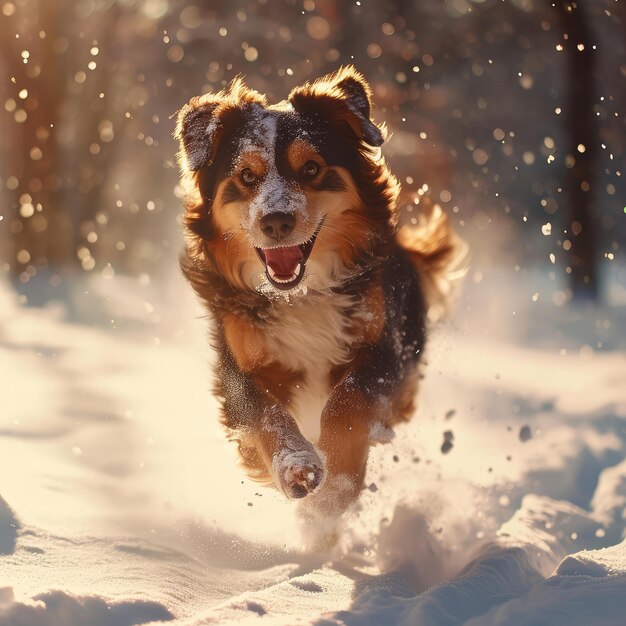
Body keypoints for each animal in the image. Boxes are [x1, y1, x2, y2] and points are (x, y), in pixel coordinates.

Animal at [173, 66, 466, 516]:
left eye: (311, 169)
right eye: (247, 176)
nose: (276, 220)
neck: (301, 294)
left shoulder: (387, 349)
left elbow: (349, 400)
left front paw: (337, 482)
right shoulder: (238, 364)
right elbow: (264, 411)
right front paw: (297, 466)